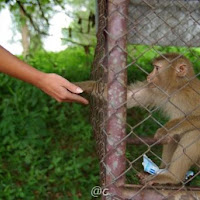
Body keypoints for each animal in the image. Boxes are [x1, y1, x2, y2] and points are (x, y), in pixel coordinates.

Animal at [74, 52, 200, 184]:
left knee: (193, 133)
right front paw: (84, 85)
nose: (148, 77)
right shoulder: (155, 90)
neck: (177, 88)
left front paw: (165, 130)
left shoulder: (192, 94)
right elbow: (128, 97)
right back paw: (162, 170)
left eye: (157, 68)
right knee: (175, 136)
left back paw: (172, 177)